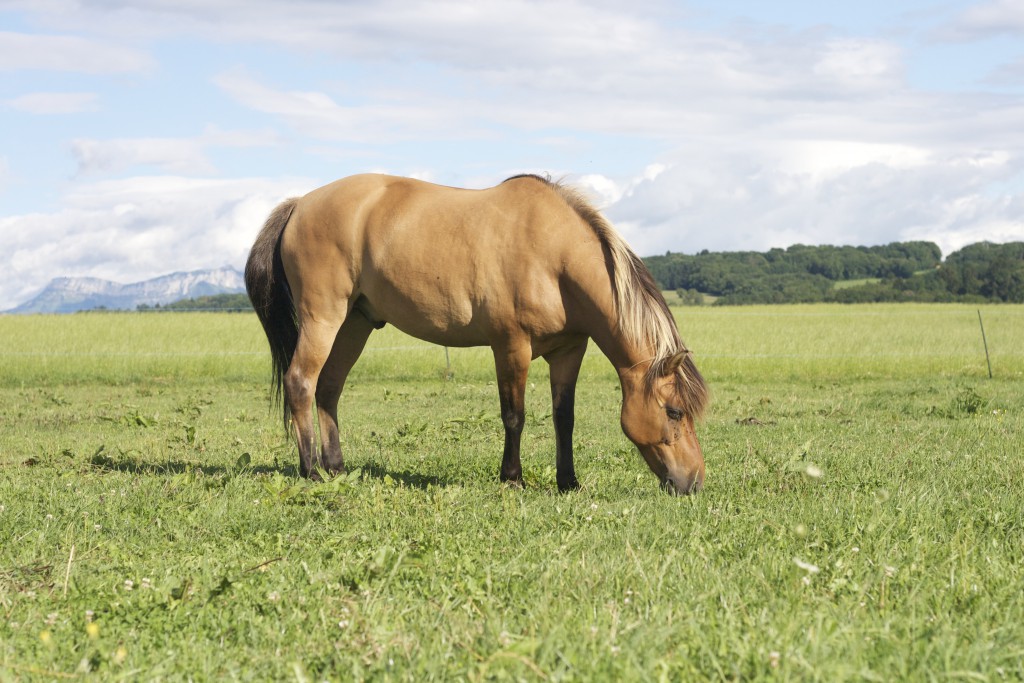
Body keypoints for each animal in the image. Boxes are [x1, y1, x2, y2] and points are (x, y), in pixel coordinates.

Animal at [246, 175, 708, 497]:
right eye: (674, 412)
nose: (694, 482)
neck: (555, 257)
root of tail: (299, 204)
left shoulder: (569, 351)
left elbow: (564, 418)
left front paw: (568, 481)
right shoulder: (511, 345)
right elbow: (514, 416)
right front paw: (512, 479)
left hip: (355, 323)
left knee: (329, 388)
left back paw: (337, 467)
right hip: (322, 318)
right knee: (301, 383)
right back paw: (310, 471)